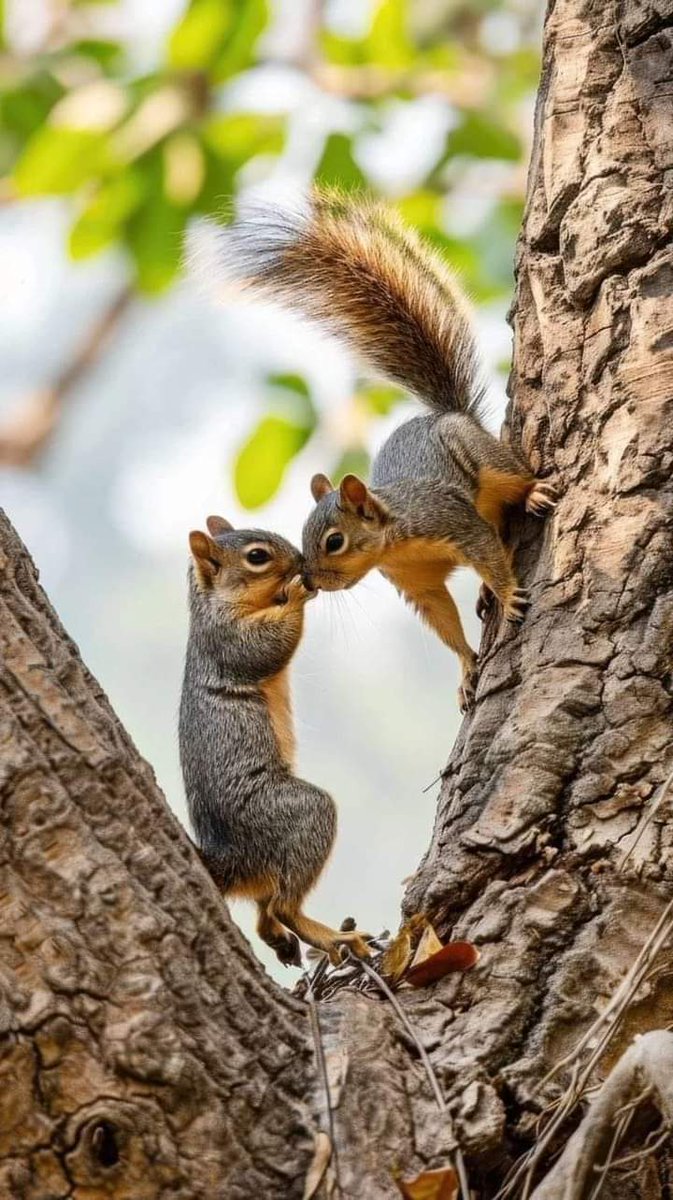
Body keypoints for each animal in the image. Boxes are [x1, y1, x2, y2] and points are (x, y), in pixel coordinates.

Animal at [178, 516, 369, 964]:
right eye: (257, 557)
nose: (301, 562)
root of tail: (230, 861)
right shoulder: (225, 638)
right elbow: (265, 646)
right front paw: (298, 593)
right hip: (293, 815)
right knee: (282, 904)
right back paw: (328, 937)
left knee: (266, 908)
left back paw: (280, 938)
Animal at [190, 189, 556, 710]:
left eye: (333, 541)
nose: (311, 581)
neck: (397, 542)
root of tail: (445, 414)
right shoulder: (414, 583)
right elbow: (442, 619)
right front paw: (467, 668)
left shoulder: (454, 523)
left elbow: (487, 552)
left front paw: (508, 596)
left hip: (483, 458)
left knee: (510, 482)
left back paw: (531, 495)